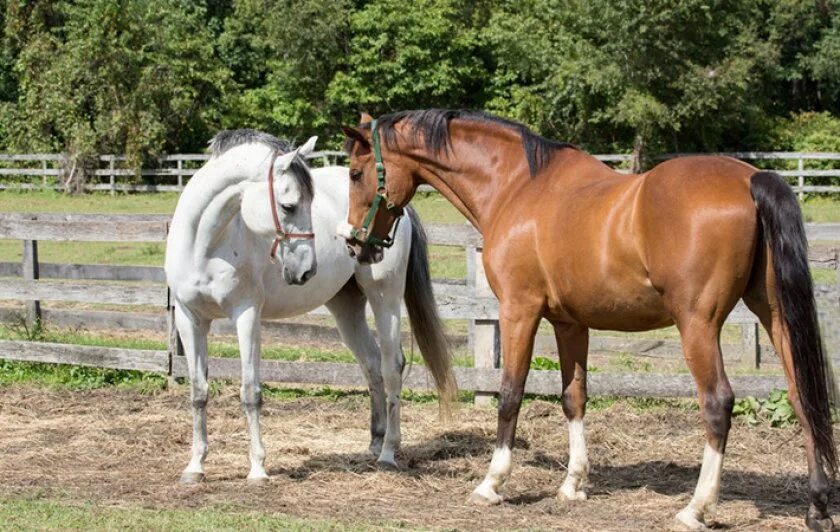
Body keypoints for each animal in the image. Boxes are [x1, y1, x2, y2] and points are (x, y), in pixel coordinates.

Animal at [167, 130, 456, 482]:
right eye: (289, 206)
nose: (306, 269)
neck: (205, 245)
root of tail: (393, 206)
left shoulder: (246, 316)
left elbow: (250, 392)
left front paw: (258, 469)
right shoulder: (189, 318)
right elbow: (198, 392)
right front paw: (195, 467)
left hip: (384, 297)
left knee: (392, 366)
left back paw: (389, 451)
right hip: (346, 307)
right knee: (372, 363)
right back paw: (375, 442)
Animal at [340, 110, 832, 528]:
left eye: (354, 173)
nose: (355, 243)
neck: (517, 187)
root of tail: (750, 178)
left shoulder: (518, 311)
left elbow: (509, 394)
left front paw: (491, 483)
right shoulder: (569, 324)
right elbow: (573, 397)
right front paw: (573, 484)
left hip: (698, 325)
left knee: (717, 403)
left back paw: (696, 509)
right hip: (774, 316)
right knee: (803, 396)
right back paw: (818, 508)